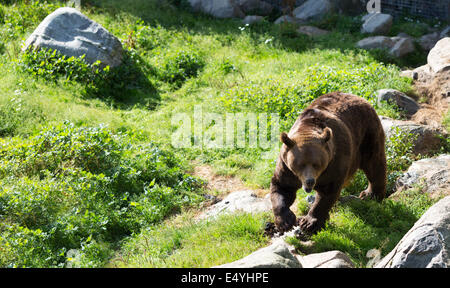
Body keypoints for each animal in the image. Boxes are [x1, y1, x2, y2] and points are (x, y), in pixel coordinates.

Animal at [270, 91, 386, 234]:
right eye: (300, 164)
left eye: (316, 164)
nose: (310, 181)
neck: (307, 129)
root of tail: (359, 97)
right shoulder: (286, 167)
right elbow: (282, 187)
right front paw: (285, 221)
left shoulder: (333, 162)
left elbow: (327, 193)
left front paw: (309, 222)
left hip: (367, 134)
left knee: (374, 164)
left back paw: (371, 194)